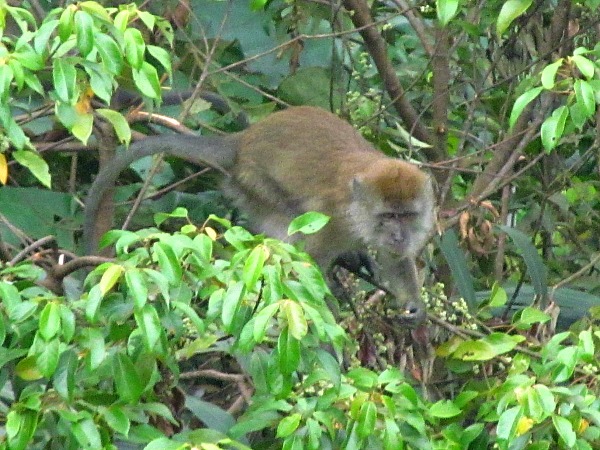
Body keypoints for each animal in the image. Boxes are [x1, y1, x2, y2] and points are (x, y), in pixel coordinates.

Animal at [84, 106, 435, 324]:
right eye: (388, 216)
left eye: (406, 215)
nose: (399, 235)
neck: (355, 208)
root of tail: (241, 142)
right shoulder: (330, 219)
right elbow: (310, 261)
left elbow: (395, 259)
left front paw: (413, 303)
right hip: (253, 182)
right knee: (287, 219)